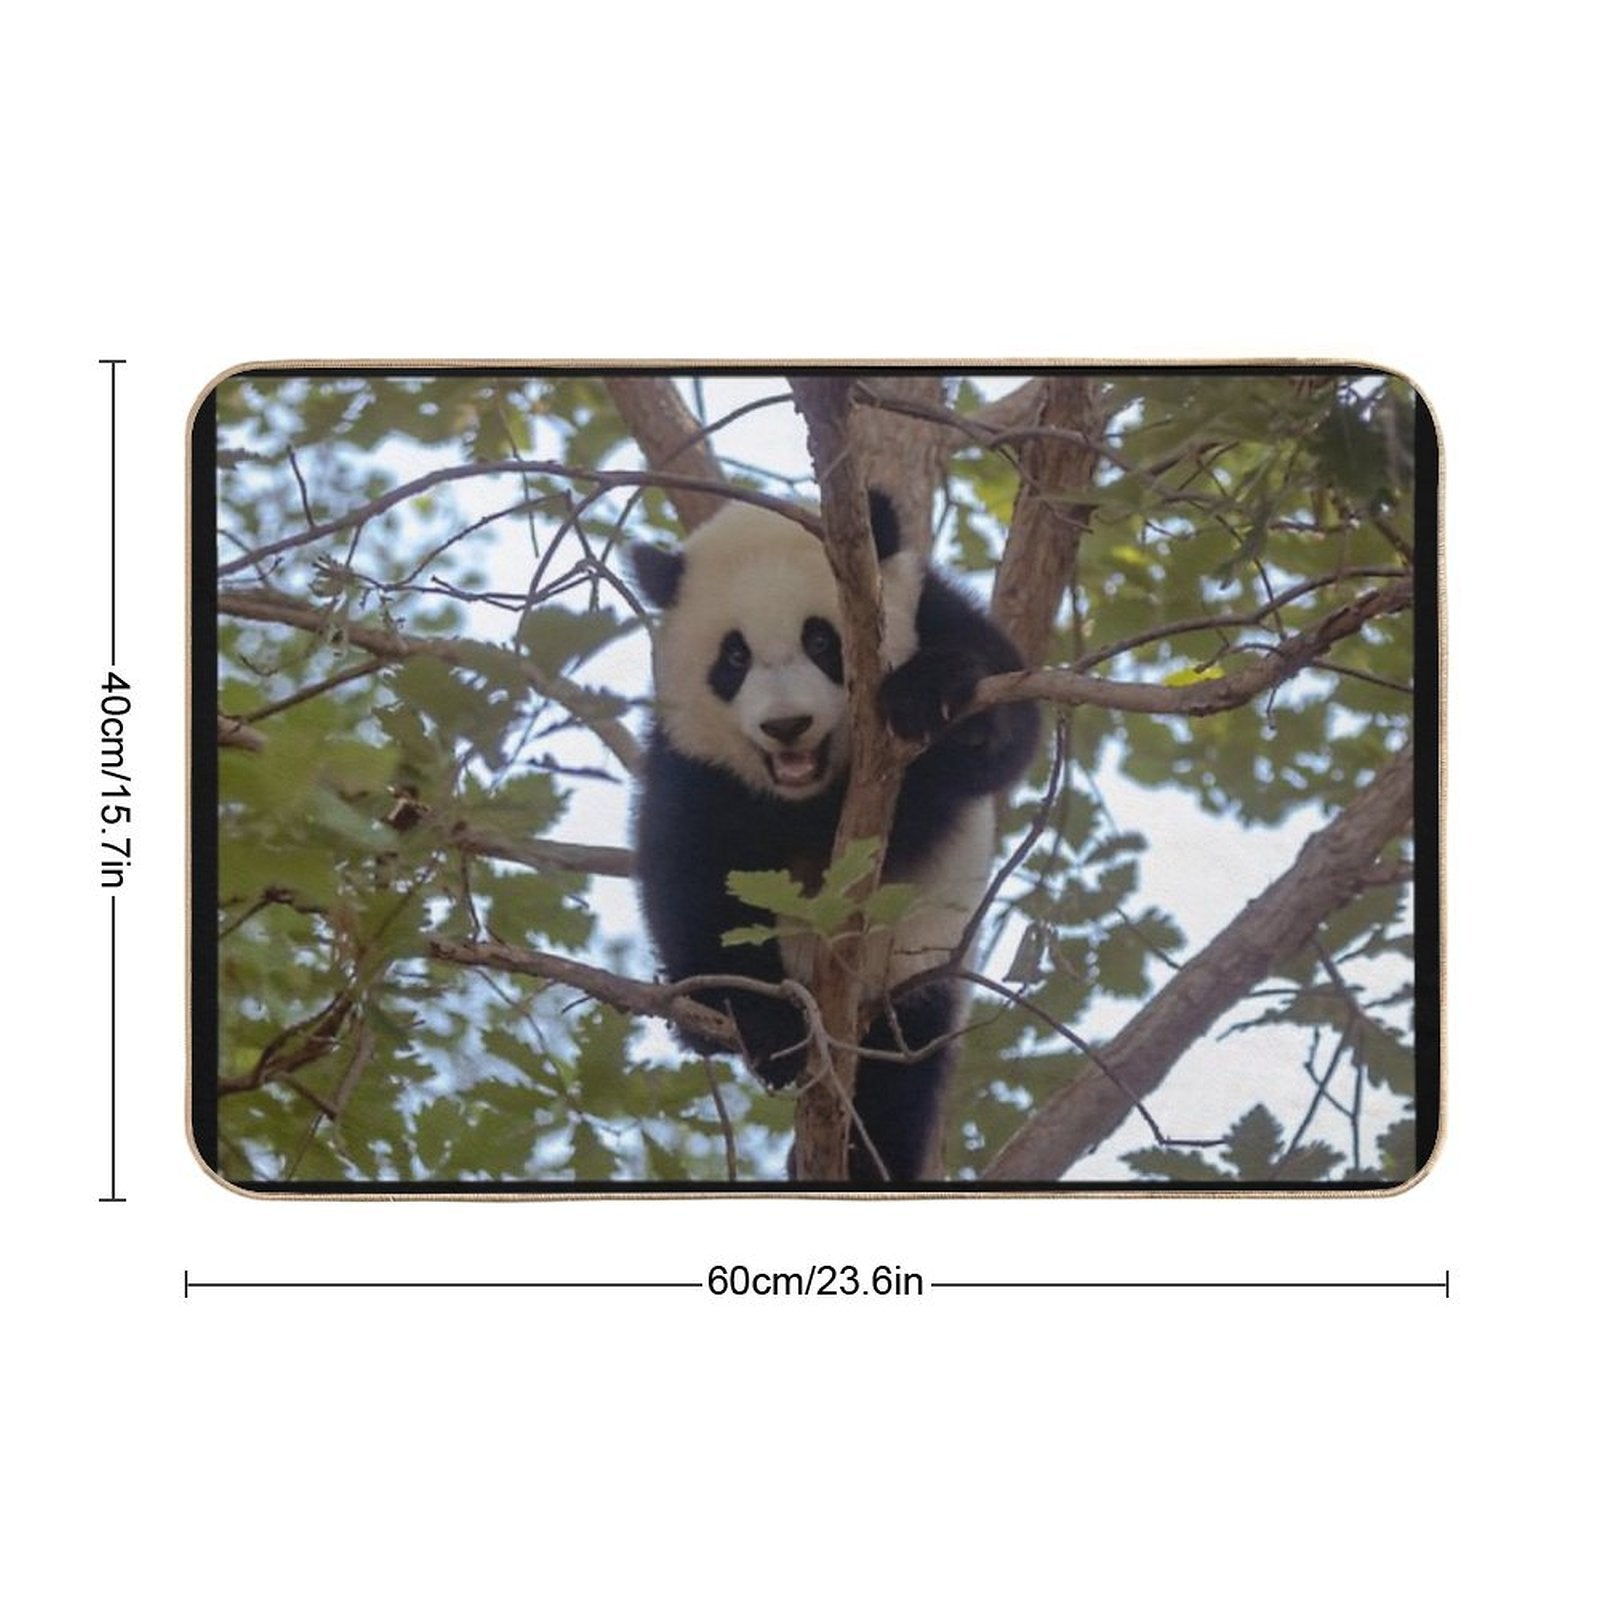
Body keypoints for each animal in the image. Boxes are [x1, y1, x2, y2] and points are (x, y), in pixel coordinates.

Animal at [629, 490, 1039, 1182]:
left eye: (821, 638)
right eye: (734, 657)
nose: (786, 725)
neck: (811, 794)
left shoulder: (936, 610)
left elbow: (1008, 729)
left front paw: (933, 697)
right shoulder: (691, 762)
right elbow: (690, 872)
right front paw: (766, 1027)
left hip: (911, 970)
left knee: (896, 1081)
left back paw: (864, 1160)